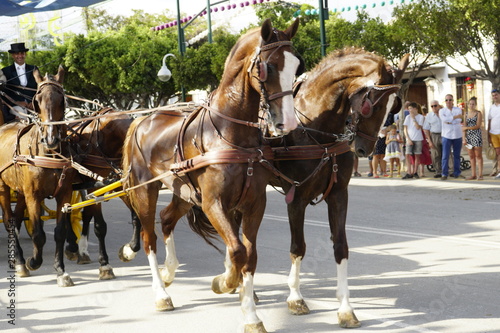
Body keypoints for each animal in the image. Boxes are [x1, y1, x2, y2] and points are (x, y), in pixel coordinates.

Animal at [0, 67, 77, 286]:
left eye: (61, 99)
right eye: (38, 99)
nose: (51, 139)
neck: (49, 153)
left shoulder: (64, 194)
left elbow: (59, 232)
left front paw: (60, 270)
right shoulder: (33, 196)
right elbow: (38, 234)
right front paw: (33, 261)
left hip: (21, 191)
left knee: (16, 219)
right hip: (3, 188)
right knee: (8, 220)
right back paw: (19, 261)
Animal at [120, 19, 300, 330]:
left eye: (296, 65)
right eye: (269, 66)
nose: (287, 122)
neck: (229, 134)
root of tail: (142, 119)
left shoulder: (254, 204)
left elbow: (250, 255)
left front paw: (250, 313)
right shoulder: (213, 203)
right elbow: (238, 251)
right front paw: (225, 282)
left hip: (182, 191)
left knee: (167, 219)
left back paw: (169, 271)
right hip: (145, 191)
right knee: (148, 237)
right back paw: (161, 292)